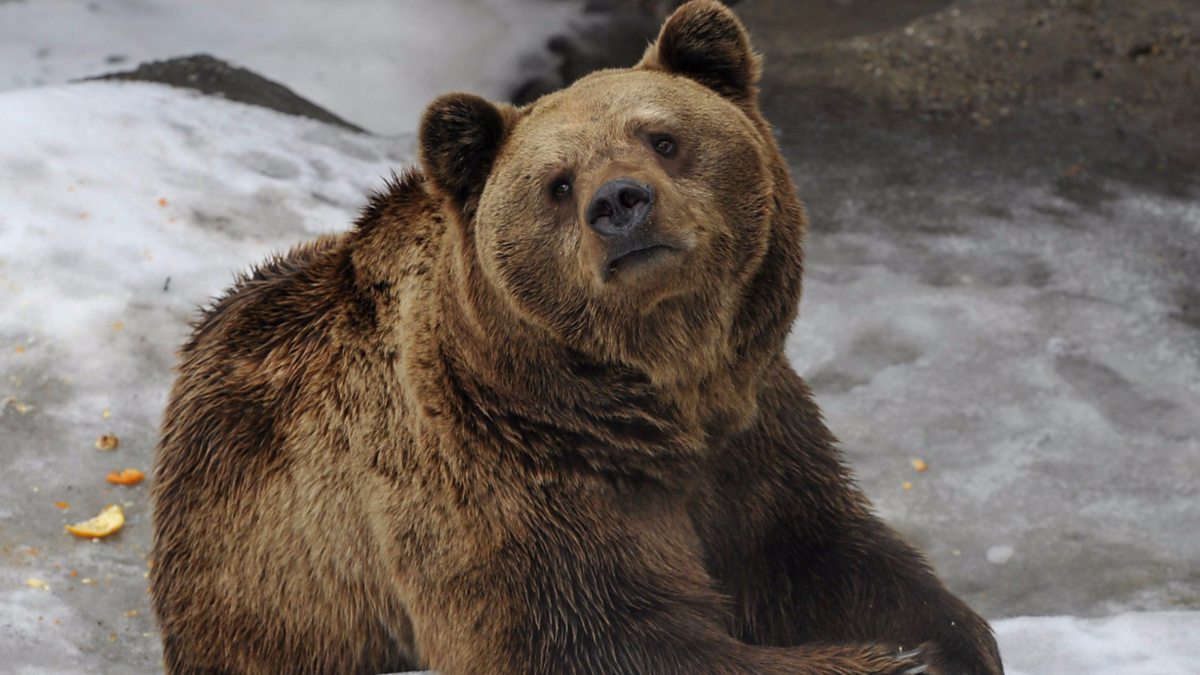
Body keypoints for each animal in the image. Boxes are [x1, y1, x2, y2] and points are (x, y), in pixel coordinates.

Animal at [154, 2, 1008, 667]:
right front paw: (894, 662)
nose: (620, 201)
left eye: (663, 137)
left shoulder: (757, 439)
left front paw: (949, 639)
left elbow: (826, 553)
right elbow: (598, 638)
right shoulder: (506, 485)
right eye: (557, 184)